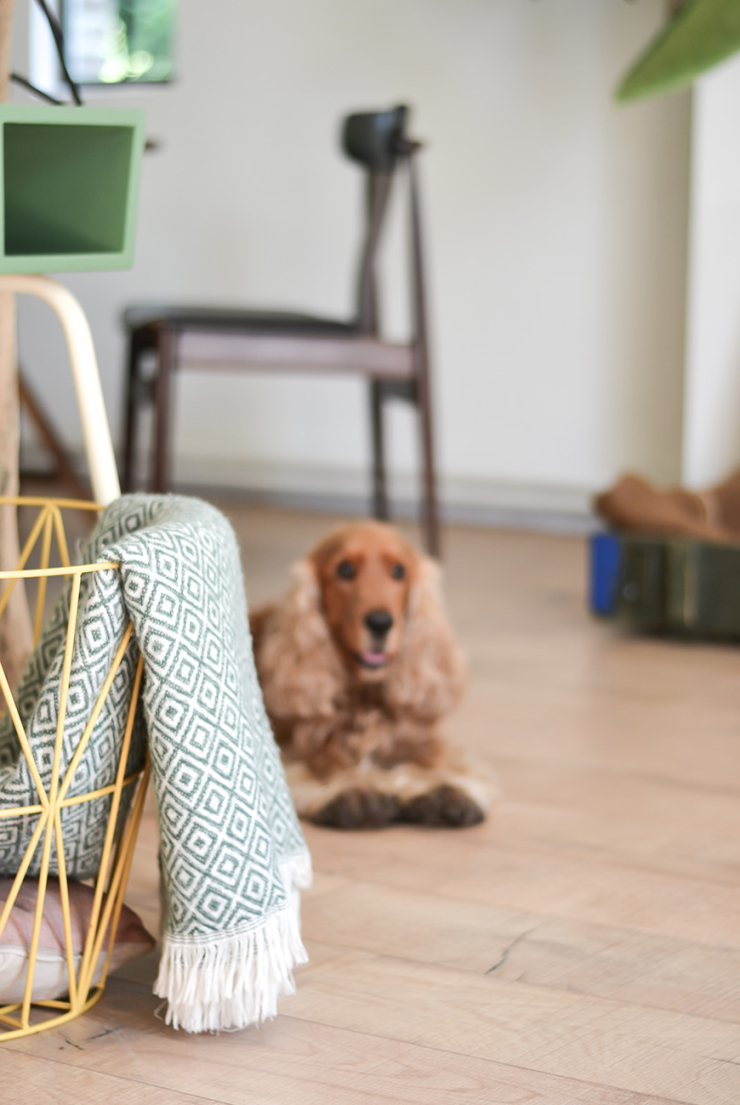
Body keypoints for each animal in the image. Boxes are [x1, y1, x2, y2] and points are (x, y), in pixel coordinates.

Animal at [250, 519, 492, 830]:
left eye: (398, 571)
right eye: (345, 569)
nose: (380, 622)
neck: (365, 693)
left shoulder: (422, 740)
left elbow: (436, 761)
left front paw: (439, 790)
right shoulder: (302, 743)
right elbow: (324, 767)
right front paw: (353, 791)